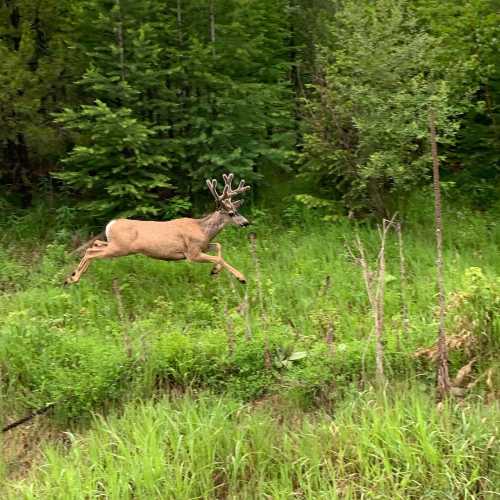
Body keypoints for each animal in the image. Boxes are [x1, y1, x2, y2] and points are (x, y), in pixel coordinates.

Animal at [65, 173, 252, 286]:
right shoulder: (192, 253)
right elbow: (219, 257)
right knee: (91, 251)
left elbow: (218, 246)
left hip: (115, 244)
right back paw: (73, 278)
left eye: (238, 211)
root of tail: (111, 223)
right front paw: (241, 277)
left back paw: (72, 276)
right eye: (231, 213)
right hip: (120, 248)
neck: (203, 229)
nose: (246, 222)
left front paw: (214, 271)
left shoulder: (203, 246)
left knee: (95, 243)